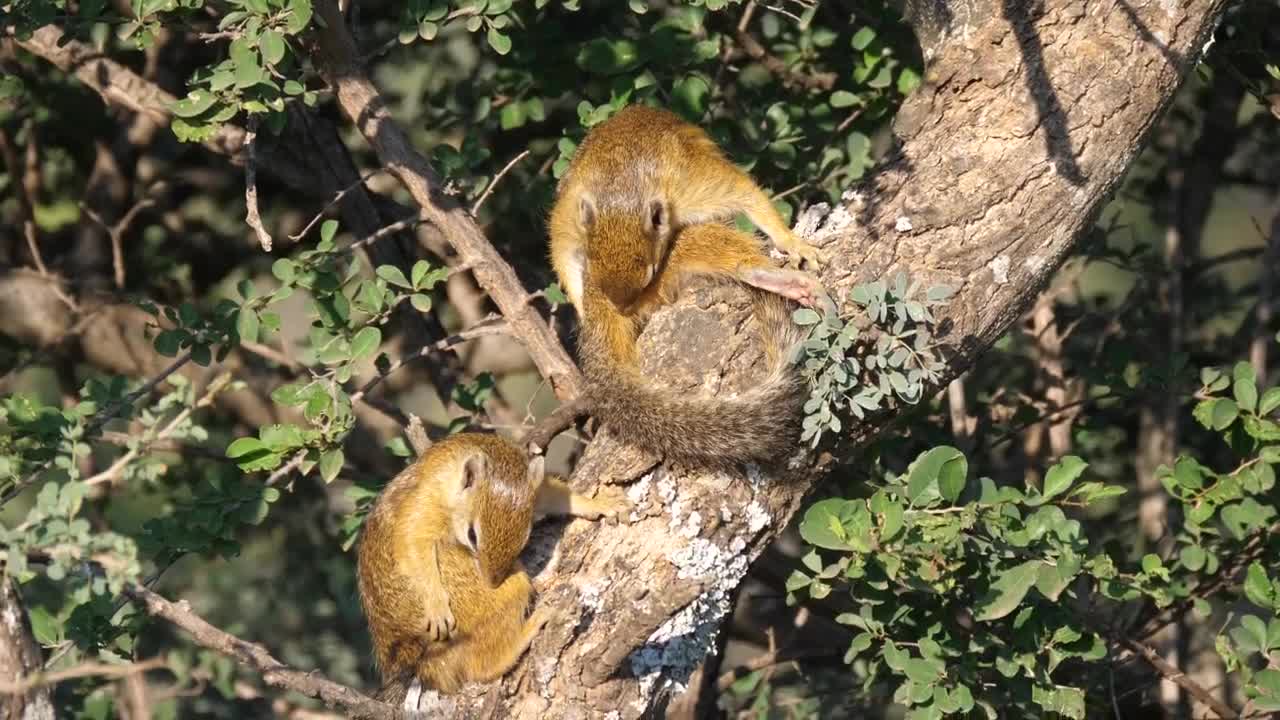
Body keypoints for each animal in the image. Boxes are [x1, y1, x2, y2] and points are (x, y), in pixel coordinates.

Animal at [356, 432, 624, 697]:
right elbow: (411, 543)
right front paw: (436, 606)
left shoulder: (535, 489)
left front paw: (598, 504)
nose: (492, 583)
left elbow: (554, 494)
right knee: (482, 667)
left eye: (524, 538)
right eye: (472, 535)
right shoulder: (424, 504)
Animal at [547, 105, 830, 464]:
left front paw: (790, 239)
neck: (621, 184)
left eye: (649, 275)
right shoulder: (571, 212)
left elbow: (745, 193)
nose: (622, 308)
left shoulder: (688, 185)